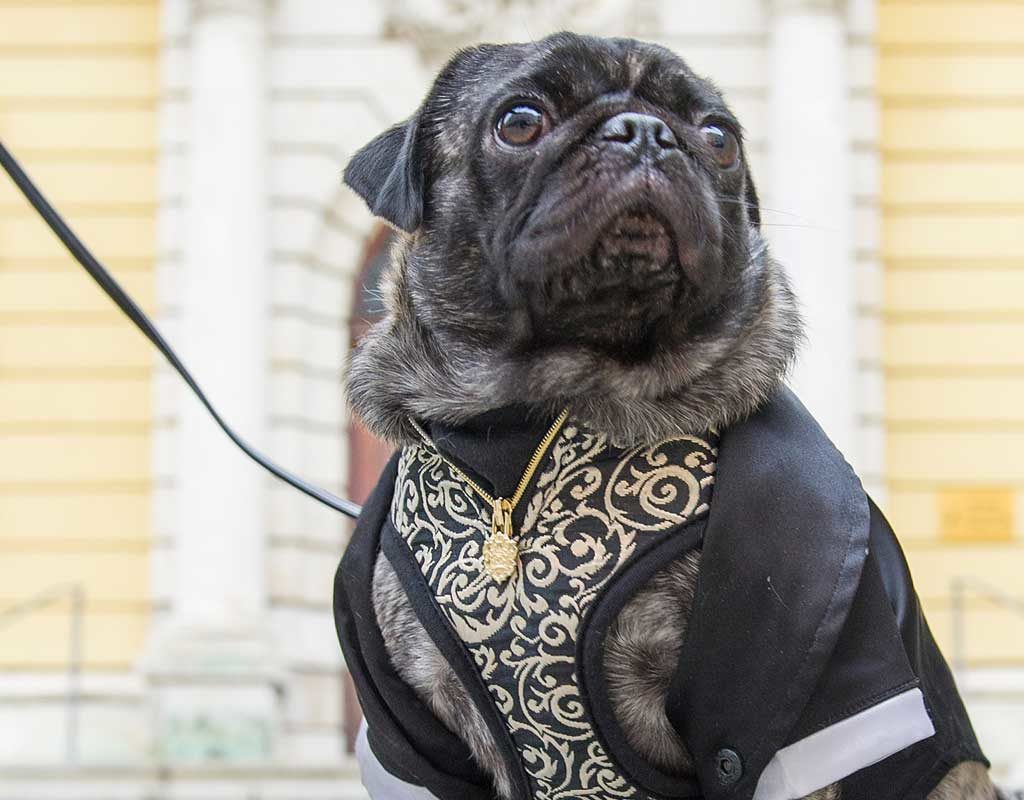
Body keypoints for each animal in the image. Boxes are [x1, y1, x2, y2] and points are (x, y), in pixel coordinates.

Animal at [337, 31, 999, 798]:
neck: (532, 416)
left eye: (719, 138)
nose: (647, 132)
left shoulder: (779, 728)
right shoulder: (423, 748)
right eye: (520, 121)